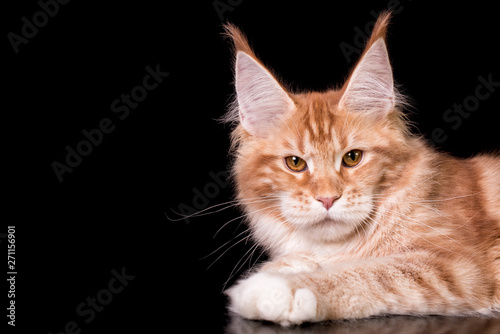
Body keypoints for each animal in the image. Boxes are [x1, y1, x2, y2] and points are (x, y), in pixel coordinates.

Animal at [223, 11, 500, 324]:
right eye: (295, 163)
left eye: (352, 157)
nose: (327, 199)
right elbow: (299, 260)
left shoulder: (458, 265)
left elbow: (370, 272)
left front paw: (275, 290)